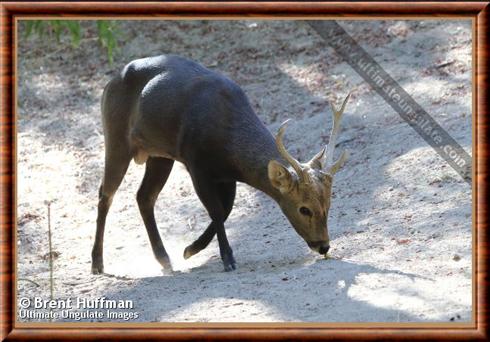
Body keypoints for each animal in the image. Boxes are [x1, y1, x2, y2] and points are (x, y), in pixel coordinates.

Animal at [92, 54, 350, 274]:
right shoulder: (196, 163)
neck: (227, 140)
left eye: (328, 204)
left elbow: (225, 210)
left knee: (144, 196)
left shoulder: (227, 175)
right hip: (116, 136)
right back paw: (97, 263)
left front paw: (190, 249)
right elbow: (216, 209)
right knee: (106, 193)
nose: (324, 245)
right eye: (304, 208)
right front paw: (227, 259)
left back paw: (164, 259)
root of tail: (109, 84)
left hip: (160, 155)